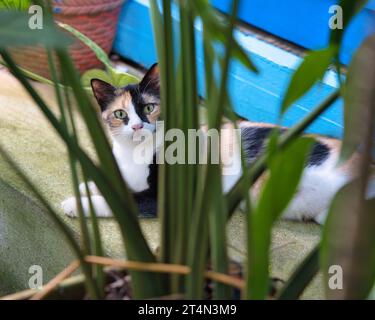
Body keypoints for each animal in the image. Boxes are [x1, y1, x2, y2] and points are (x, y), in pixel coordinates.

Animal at [61, 62, 368, 222]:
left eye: (148, 108)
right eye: (120, 114)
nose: (137, 125)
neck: (135, 155)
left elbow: (120, 202)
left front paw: (76, 204)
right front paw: (89, 185)